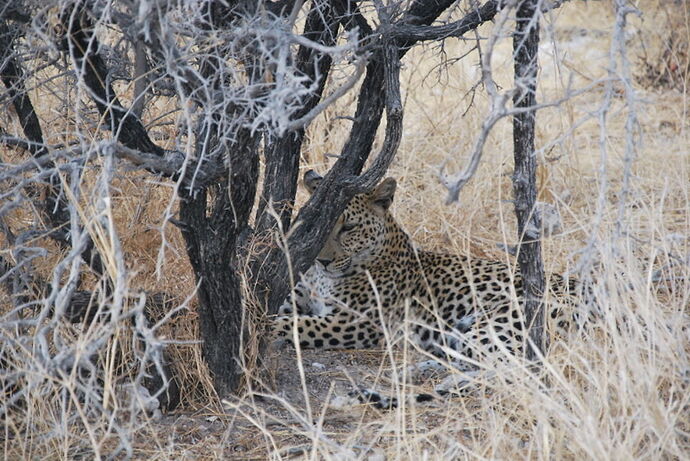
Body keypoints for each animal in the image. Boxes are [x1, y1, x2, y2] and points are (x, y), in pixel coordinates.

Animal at [272, 171, 584, 408]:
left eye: (349, 227)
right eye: (316, 224)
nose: (321, 260)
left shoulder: (356, 323)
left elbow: (291, 324)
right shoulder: (296, 300)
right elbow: (280, 313)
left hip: (500, 323)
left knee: (514, 372)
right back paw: (413, 374)